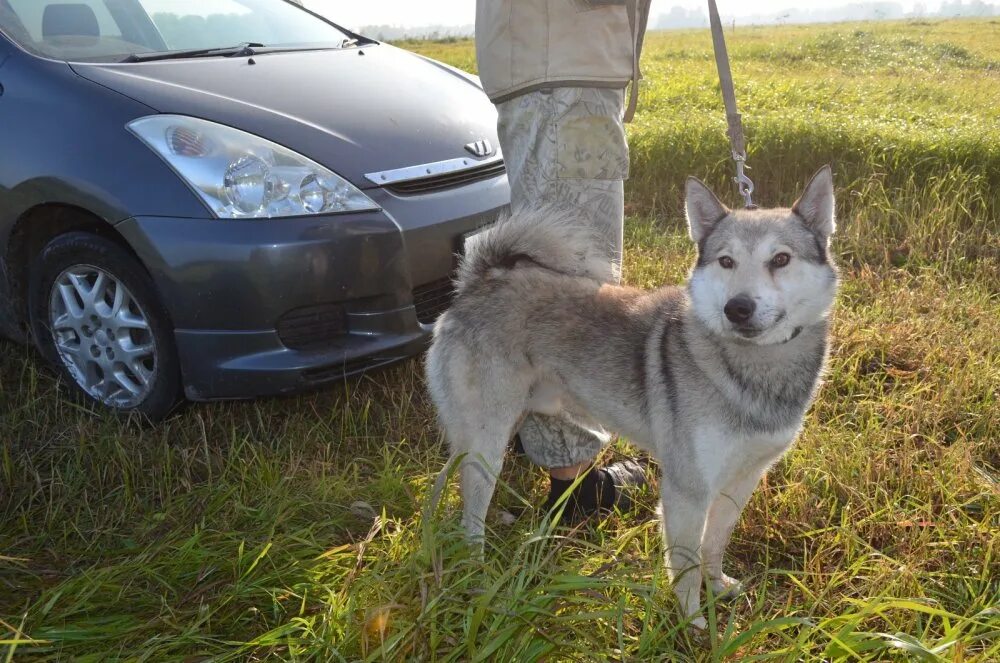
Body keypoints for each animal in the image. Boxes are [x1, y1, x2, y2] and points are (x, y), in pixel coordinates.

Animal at [426, 166, 840, 628]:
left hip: (488, 433)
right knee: (470, 505)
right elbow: (686, 564)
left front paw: (718, 587)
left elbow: (715, 543)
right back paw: (474, 570)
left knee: (448, 482)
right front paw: (692, 623)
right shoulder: (687, 491)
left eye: (780, 259)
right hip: (487, 441)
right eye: (726, 261)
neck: (754, 366)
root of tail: (479, 283)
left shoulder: (743, 479)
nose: (738, 308)